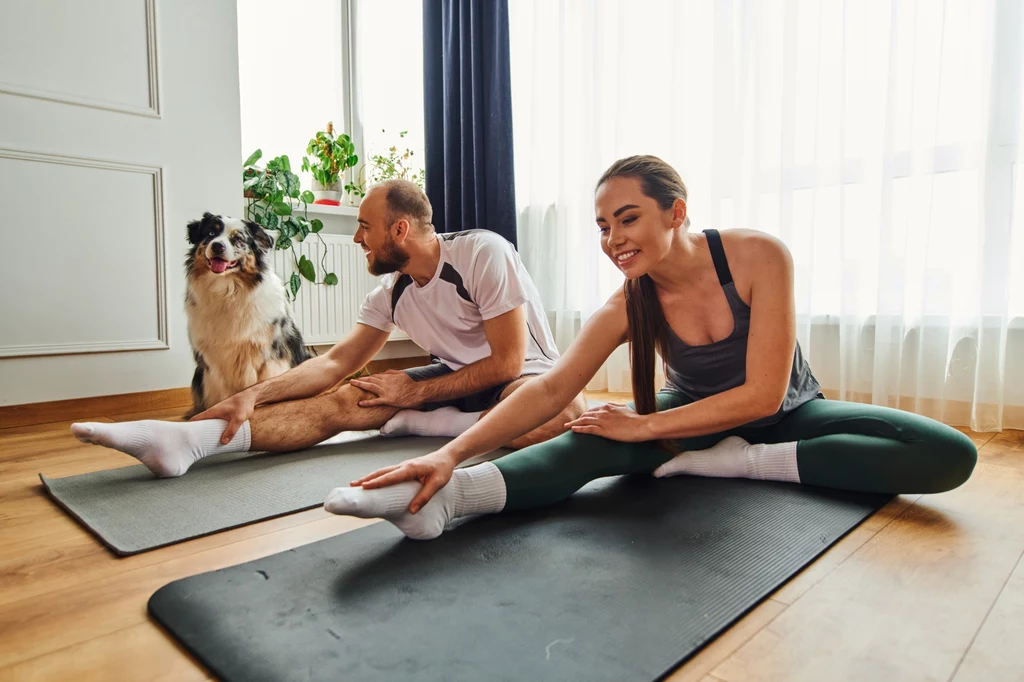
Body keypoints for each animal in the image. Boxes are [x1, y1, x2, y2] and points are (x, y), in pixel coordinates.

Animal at [185, 209, 309, 417]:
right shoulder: (213, 364)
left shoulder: (270, 355)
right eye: (210, 233)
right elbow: (221, 398)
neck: (227, 292)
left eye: (238, 239)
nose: (217, 246)